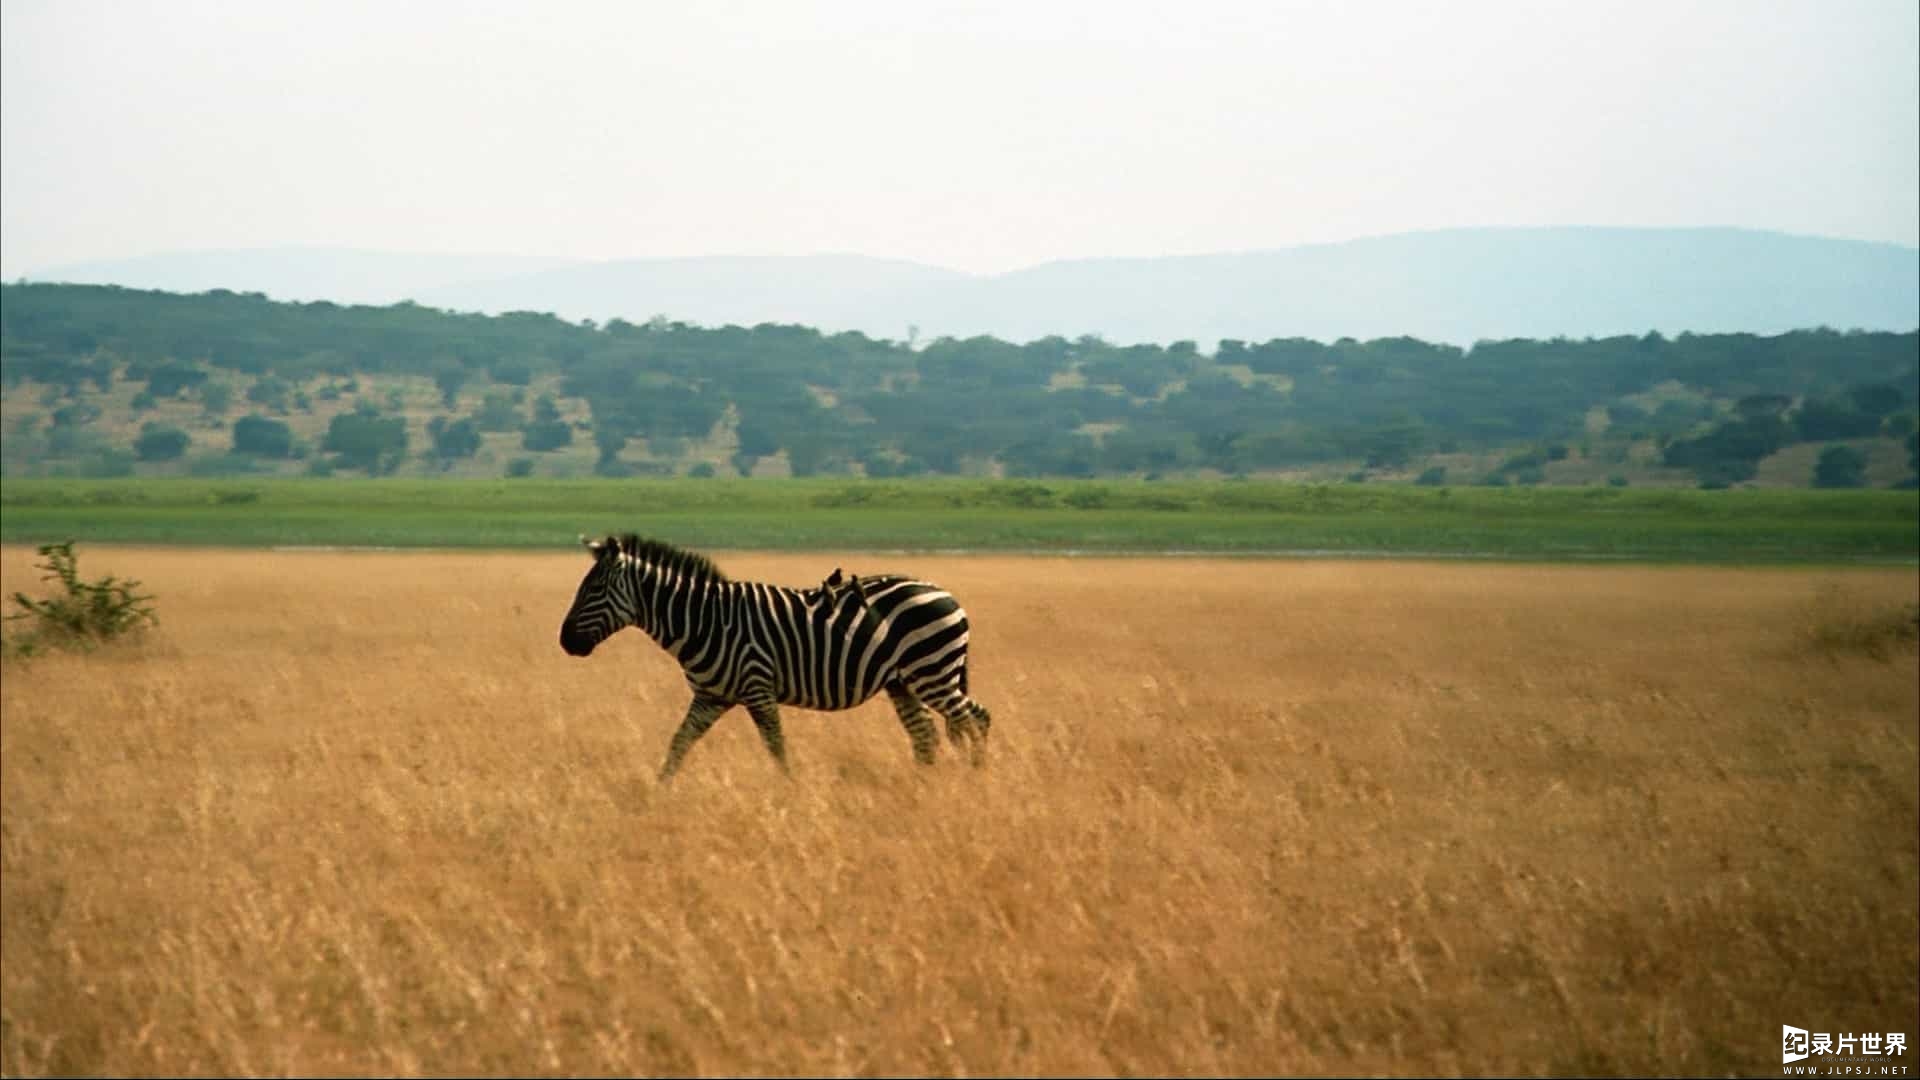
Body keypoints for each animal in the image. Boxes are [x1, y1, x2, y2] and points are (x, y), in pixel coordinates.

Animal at [556, 534, 990, 776]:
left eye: (593, 590)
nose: (564, 642)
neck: (703, 621)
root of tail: (948, 594)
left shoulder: (757, 687)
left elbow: (776, 747)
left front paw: (789, 789)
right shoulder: (710, 697)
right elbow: (678, 744)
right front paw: (659, 792)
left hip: (932, 670)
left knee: (975, 717)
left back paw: (976, 777)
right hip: (904, 682)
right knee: (926, 735)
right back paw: (921, 788)